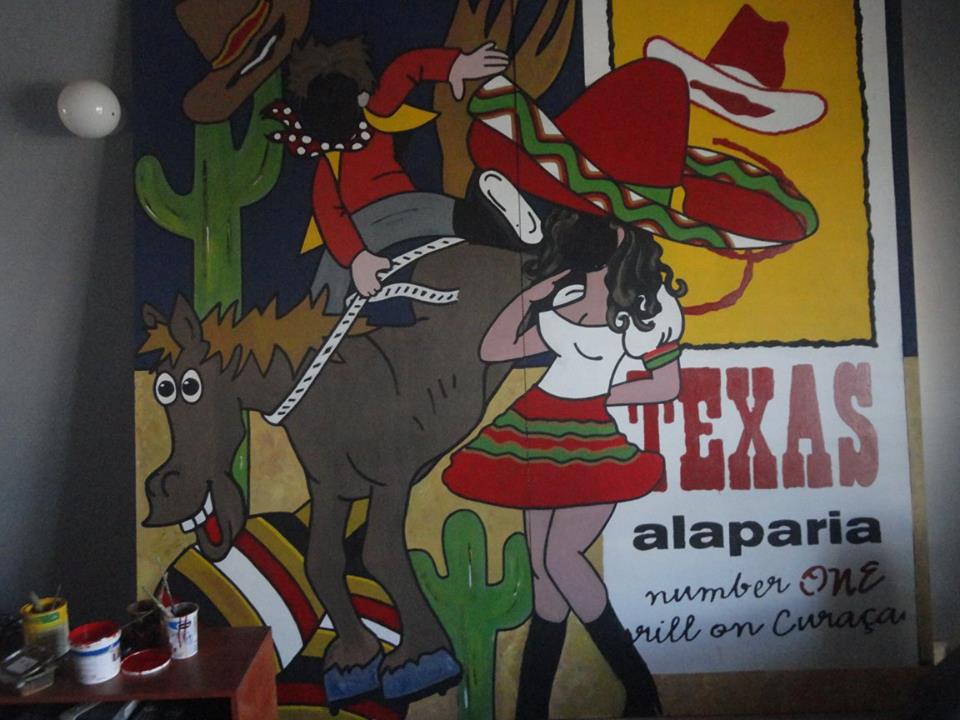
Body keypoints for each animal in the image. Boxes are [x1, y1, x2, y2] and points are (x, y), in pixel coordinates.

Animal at [140, 240, 524, 706]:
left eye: (190, 387)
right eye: (162, 388)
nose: (163, 493)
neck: (322, 392)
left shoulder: (392, 479)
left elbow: (381, 553)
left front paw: (420, 658)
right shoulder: (329, 487)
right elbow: (321, 561)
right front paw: (356, 660)